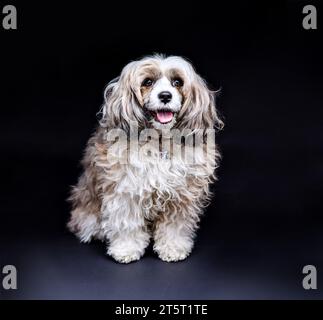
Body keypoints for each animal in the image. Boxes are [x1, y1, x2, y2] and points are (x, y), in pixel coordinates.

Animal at [67, 54, 224, 262]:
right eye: (147, 82)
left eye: (177, 82)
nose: (165, 96)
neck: (159, 142)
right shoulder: (125, 190)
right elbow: (126, 223)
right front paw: (126, 249)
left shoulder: (182, 195)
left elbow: (175, 226)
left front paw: (173, 247)